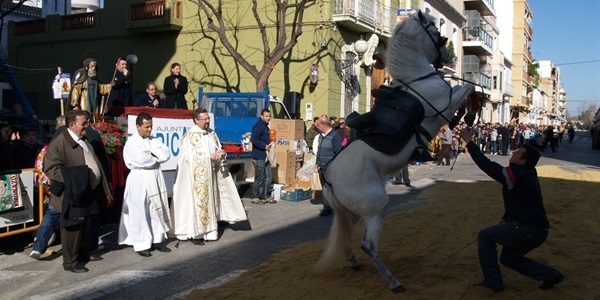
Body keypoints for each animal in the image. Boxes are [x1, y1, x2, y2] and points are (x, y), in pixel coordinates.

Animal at [314, 9, 478, 292]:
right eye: (436, 32)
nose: (447, 56)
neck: (416, 80)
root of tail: (330, 175)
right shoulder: (445, 105)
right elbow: (467, 88)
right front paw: (468, 113)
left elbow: (467, 88)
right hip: (375, 208)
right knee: (368, 245)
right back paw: (393, 282)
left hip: (354, 212)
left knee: (345, 235)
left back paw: (354, 263)